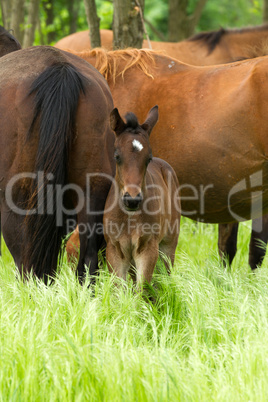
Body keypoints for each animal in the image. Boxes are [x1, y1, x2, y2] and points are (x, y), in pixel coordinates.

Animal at [103, 106, 181, 286]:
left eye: (148, 158)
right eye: (117, 156)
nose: (132, 200)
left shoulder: (147, 248)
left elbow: (143, 287)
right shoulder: (114, 249)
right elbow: (119, 288)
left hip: (168, 244)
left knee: (166, 274)